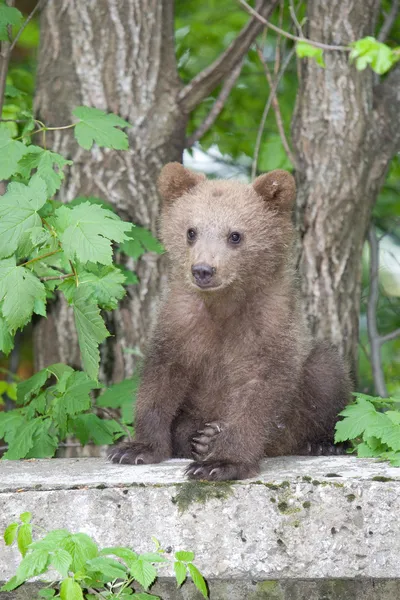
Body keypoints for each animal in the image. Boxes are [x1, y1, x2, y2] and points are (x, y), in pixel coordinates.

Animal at [109, 162, 350, 480]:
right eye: (191, 231)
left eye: (235, 235)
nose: (203, 270)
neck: (222, 306)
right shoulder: (179, 322)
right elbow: (160, 380)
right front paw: (135, 448)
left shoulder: (269, 326)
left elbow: (259, 392)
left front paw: (221, 463)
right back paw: (200, 437)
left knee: (326, 372)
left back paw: (321, 443)